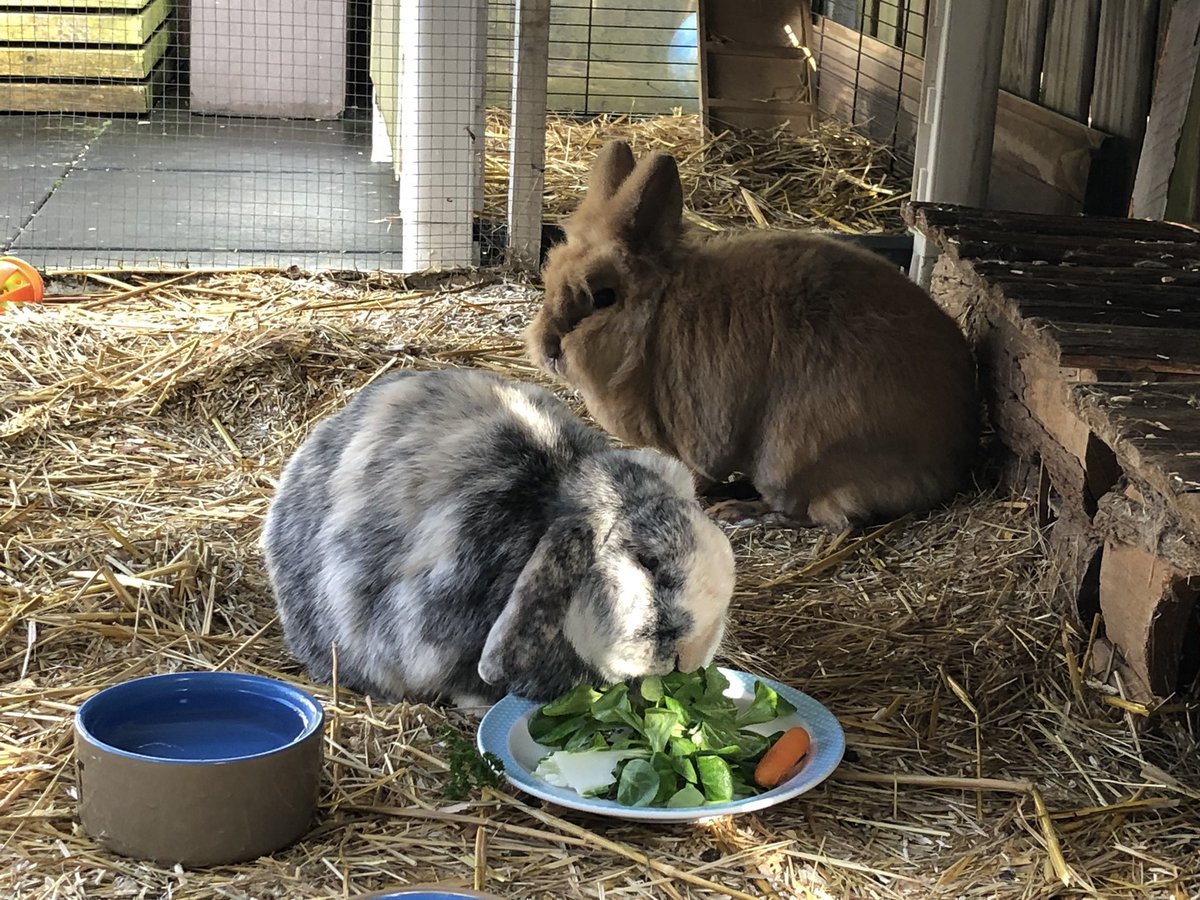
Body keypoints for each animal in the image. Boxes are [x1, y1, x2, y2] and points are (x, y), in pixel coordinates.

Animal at [530, 140, 979, 532]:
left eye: (603, 296)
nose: (549, 347)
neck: (657, 318)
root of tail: (947, 464)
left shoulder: (700, 433)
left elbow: (699, 472)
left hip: (790, 457)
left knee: (817, 514)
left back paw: (739, 509)